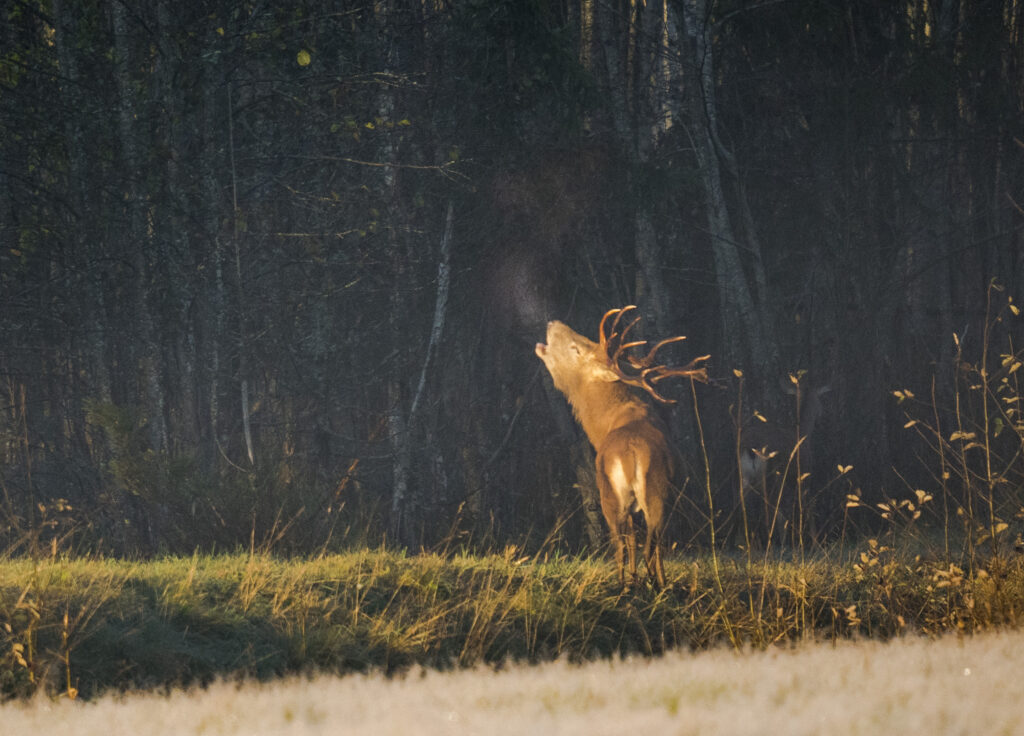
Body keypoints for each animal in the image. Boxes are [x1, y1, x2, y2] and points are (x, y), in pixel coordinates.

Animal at [532, 305, 708, 585]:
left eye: (576, 348)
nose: (552, 323)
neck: (604, 426)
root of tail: (631, 452)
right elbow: (642, 543)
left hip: (617, 495)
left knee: (626, 545)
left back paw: (633, 584)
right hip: (655, 497)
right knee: (647, 545)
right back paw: (648, 584)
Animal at [737, 380, 831, 548]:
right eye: (820, 400)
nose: (821, 415)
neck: (803, 434)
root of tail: (750, 447)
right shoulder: (803, 472)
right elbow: (808, 504)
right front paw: (814, 542)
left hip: (744, 472)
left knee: (741, 503)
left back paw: (746, 541)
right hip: (769, 471)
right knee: (770, 505)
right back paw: (772, 541)